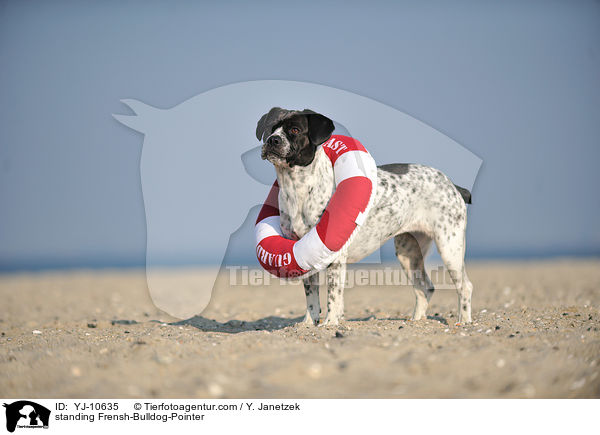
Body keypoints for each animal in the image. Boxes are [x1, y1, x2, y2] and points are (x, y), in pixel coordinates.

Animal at [256, 107, 474, 326]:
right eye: (271, 129)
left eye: (294, 129)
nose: (273, 140)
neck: (297, 190)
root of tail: (452, 185)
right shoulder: (302, 252)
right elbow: (311, 295)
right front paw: (309, 324)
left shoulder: (335, 257)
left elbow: (333, 296)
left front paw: (330, 323)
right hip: (408, 252)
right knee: (425, 288)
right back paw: (416, 321)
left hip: (449, 247)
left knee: (465, 287)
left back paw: (464, 321)